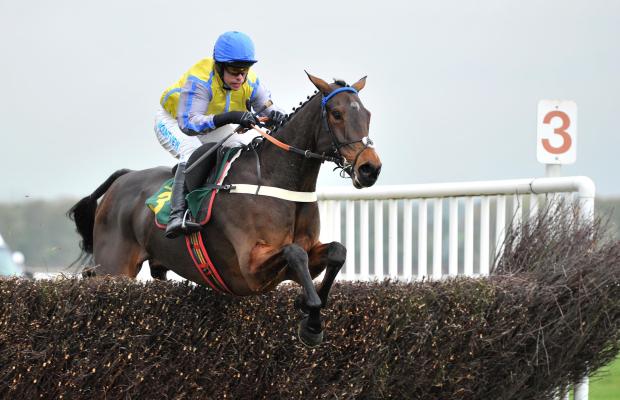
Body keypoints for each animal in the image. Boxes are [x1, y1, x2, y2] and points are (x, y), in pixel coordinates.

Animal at [68, 72, 380, 346]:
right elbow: (295, 253)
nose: (370, 169)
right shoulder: (250, 269)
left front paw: (307, 309)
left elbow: (337, 251)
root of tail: (123, 178)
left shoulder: (301, 261)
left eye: (367, 114)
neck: (275, 179)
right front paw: (312, 324)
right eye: (336, 114)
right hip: (115, 268)